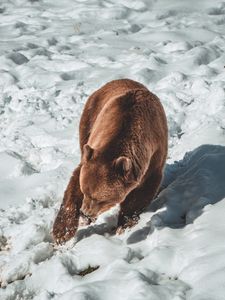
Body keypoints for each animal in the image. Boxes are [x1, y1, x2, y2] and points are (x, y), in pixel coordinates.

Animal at [52, 79, 168, 244]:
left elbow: (141, 193)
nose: (85, 213)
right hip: (89, 119)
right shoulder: (92, 151)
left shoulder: (154, 157)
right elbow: (74, 183)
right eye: (85, 191)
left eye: (101, 199)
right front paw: (62, 233)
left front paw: (124, 225)